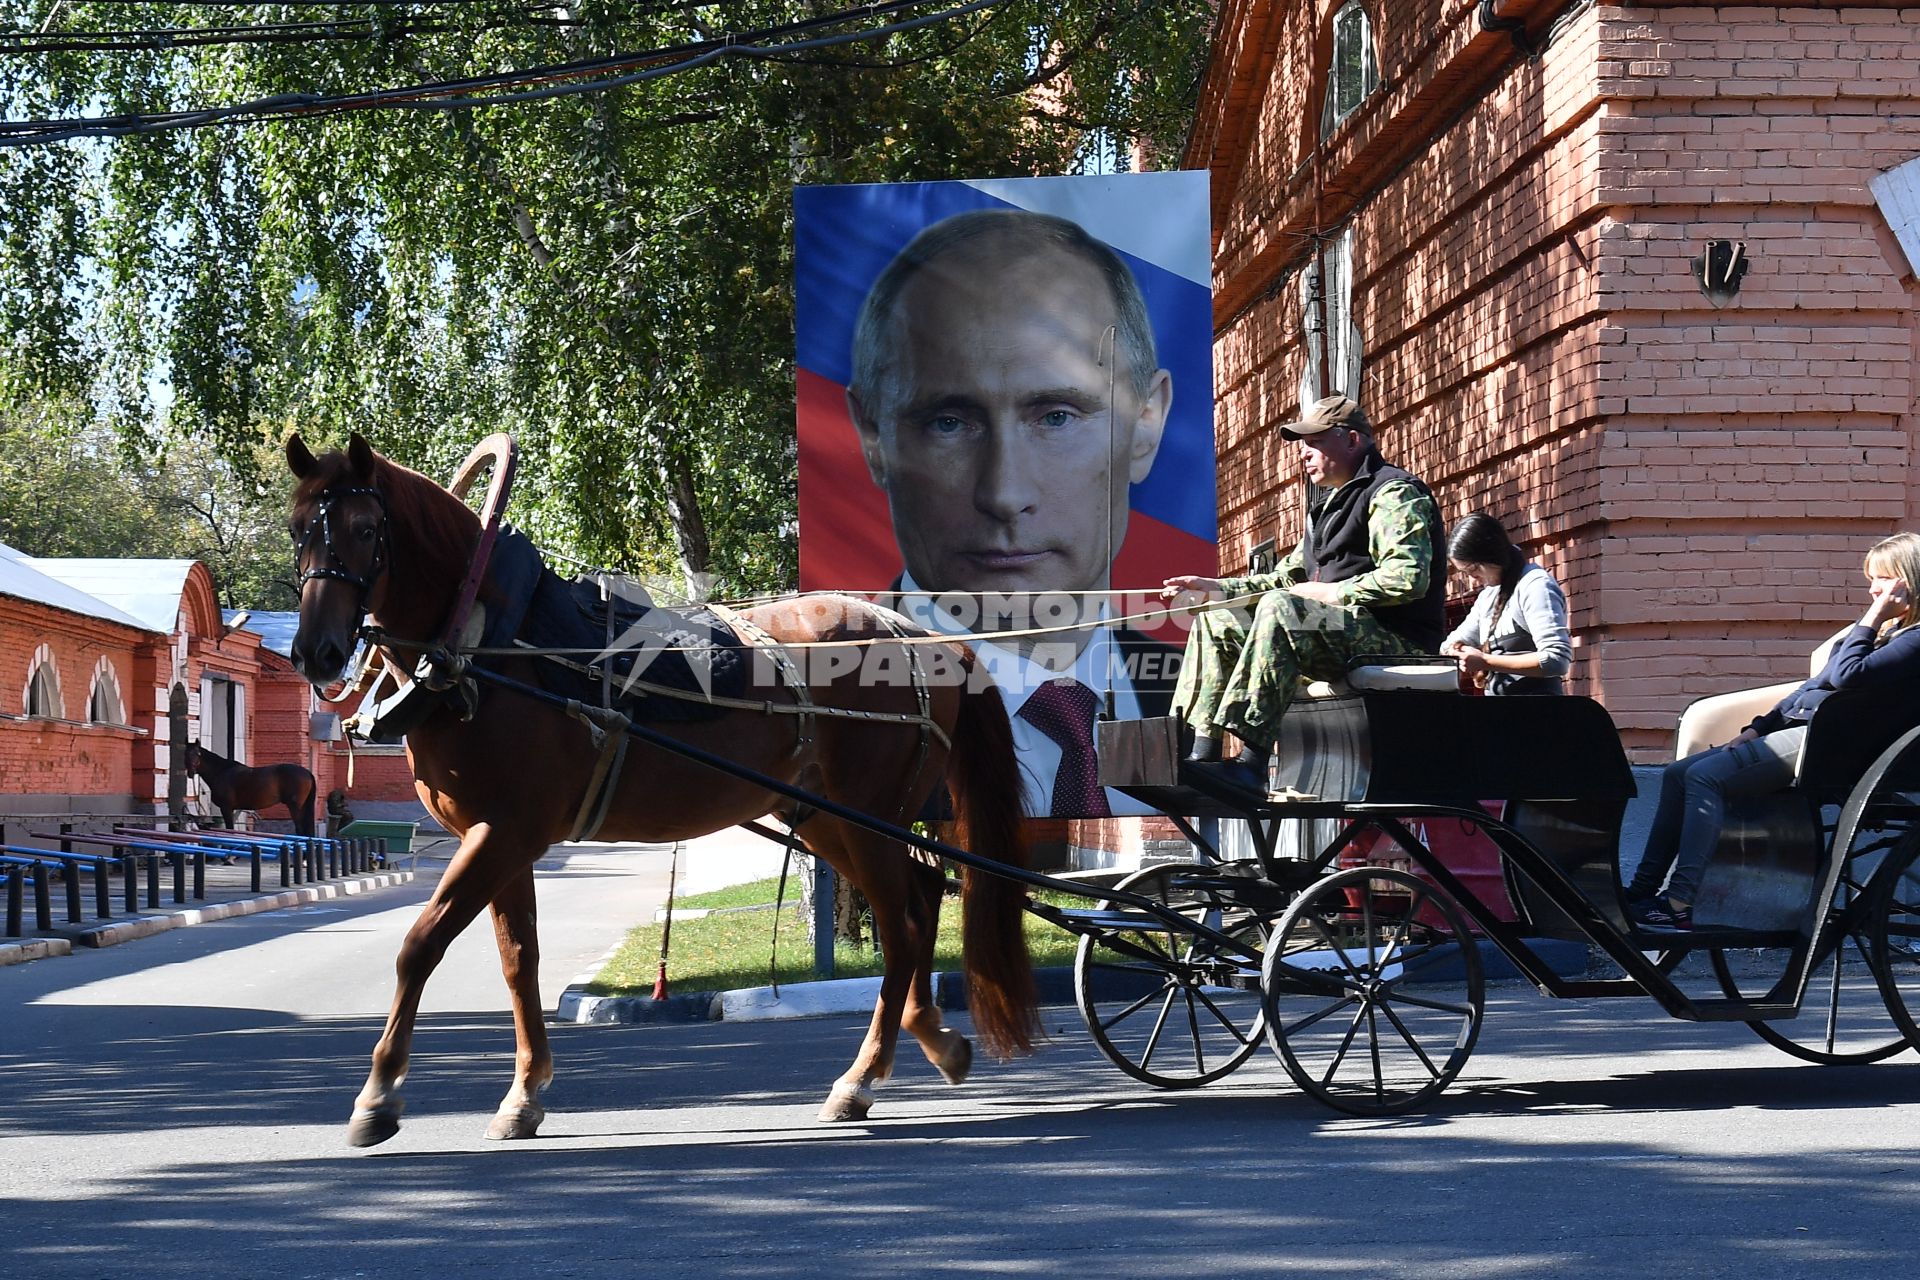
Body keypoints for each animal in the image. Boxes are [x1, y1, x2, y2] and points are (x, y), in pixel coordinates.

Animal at [182, 740, 314, 840]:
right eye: (186, 753)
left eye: (198, 753)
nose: (191, 772)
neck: (221, 771)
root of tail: (307, 772)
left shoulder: (226, 808)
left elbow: (230, 830)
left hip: (295, 806)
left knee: (300, 830)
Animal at [280, 435, 1036, 1143]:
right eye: (296, 528)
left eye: (365, 530)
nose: (316, 652)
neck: (488, 642)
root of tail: (929, 640)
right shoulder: (497, 839)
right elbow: (519, 961)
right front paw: (524, 1094)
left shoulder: (504, 834)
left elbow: (419, 946)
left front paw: (378, 1096)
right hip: (829, 820)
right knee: (920, 898)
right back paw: (933, 1039)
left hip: (864, 816)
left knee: (904, 924)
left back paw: (860, 1080)